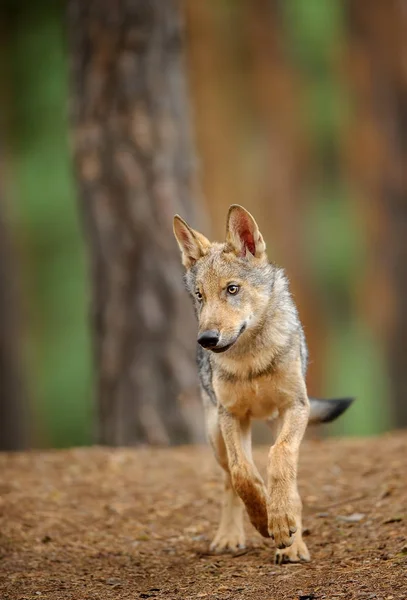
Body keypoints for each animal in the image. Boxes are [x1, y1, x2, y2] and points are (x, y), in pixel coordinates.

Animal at [172, 205, 354, 564]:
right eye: (200, 295)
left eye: (232, 289)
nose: (206, 339)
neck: (250, 360)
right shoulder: (231, 416)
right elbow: (243, 475)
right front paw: (261, 517)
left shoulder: (295, 406)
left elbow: (280, 459)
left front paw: (283, 524)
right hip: (215, 434)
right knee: (229, 478)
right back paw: (230, 536)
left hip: (279, 421)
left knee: (287, 472)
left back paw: (292, 540)